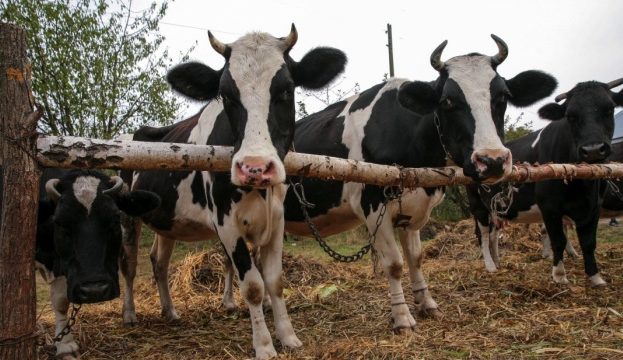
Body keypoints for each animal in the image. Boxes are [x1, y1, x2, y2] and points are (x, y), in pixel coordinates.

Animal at [33, 169, 161, 360]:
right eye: (60, 223)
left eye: (115, 219)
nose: (95, 290)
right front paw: (65, 345)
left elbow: (61, 299)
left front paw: (65, 344)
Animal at [119, 26, 348, 360]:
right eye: (227, 95)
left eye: (286, 90)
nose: (255, 167)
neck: (259, 192)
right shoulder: (226, 223)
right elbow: (252, 285)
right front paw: (264, 346)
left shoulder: (276, 220)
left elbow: (275, 281)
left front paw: (289, 337)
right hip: (127, 214)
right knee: (130, 263)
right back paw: (129, 314)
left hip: (166, 220)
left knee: (158, 263)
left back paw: (170, 312)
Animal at [249, 33, 556, 332]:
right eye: (447, 101)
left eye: (502, 96)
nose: (491, 160)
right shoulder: (372, 205)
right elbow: (395, 264)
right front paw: (402, 317)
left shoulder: (415, 207)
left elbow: (416, 258)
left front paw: (427, 304)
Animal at [468, 77, 623, 286]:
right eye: (570, 116)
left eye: (609, 109)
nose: (592, 150)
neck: (582, 186)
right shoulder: (549, 206)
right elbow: (558, 240)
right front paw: (559, 275)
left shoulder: (594, 207)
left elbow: (589, 242)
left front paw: (595, 277)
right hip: (477, 205)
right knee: (483, 234)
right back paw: (490, 265)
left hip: (495, 208)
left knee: (493, 234)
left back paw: (497, 261)